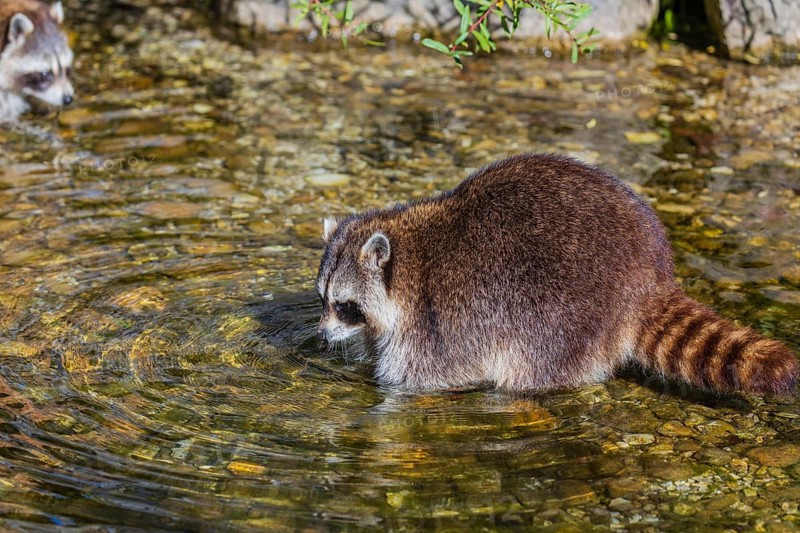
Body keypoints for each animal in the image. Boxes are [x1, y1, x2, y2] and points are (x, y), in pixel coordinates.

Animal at [316, 154, 798, 395]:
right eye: (322, 299)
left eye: (345, 305)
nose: (321, 334)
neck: (406, 265)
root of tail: (649, 278)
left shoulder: (438, 323)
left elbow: (419, 378)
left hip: (559, 312)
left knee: (533, 366)